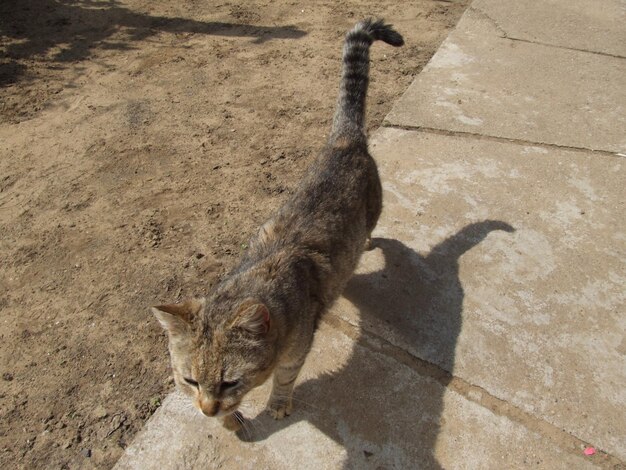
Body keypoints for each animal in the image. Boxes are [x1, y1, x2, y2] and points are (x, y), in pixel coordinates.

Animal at [152, 18, 404, 432]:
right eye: (189, 380)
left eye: (230, 381)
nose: (206, 409)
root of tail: (344, 139)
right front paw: (228, 422)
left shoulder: (294, 353)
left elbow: (284, 380)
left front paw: (276, 404)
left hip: (375, 208)